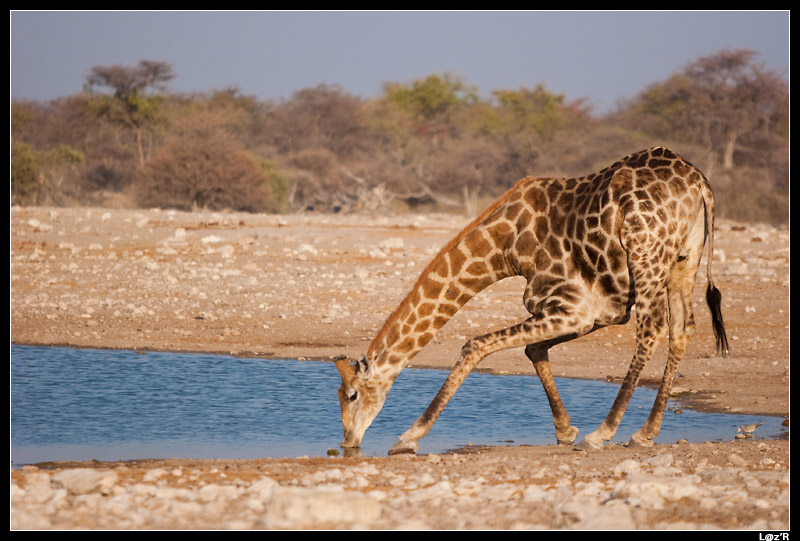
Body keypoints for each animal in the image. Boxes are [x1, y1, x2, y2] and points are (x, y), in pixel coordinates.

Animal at [335, 147, 728, 454]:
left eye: (351, 395)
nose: (348, 442)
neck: (507, 247)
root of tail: (699, 183)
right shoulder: (597, 311)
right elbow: (533, 349)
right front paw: (565, 430)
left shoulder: (573, 307)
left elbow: (475, 344)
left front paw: (408, 437)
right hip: (684, 258)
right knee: (681, 328)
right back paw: (644, 433)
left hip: (646, 253)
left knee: (652, 328)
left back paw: (602, 433)